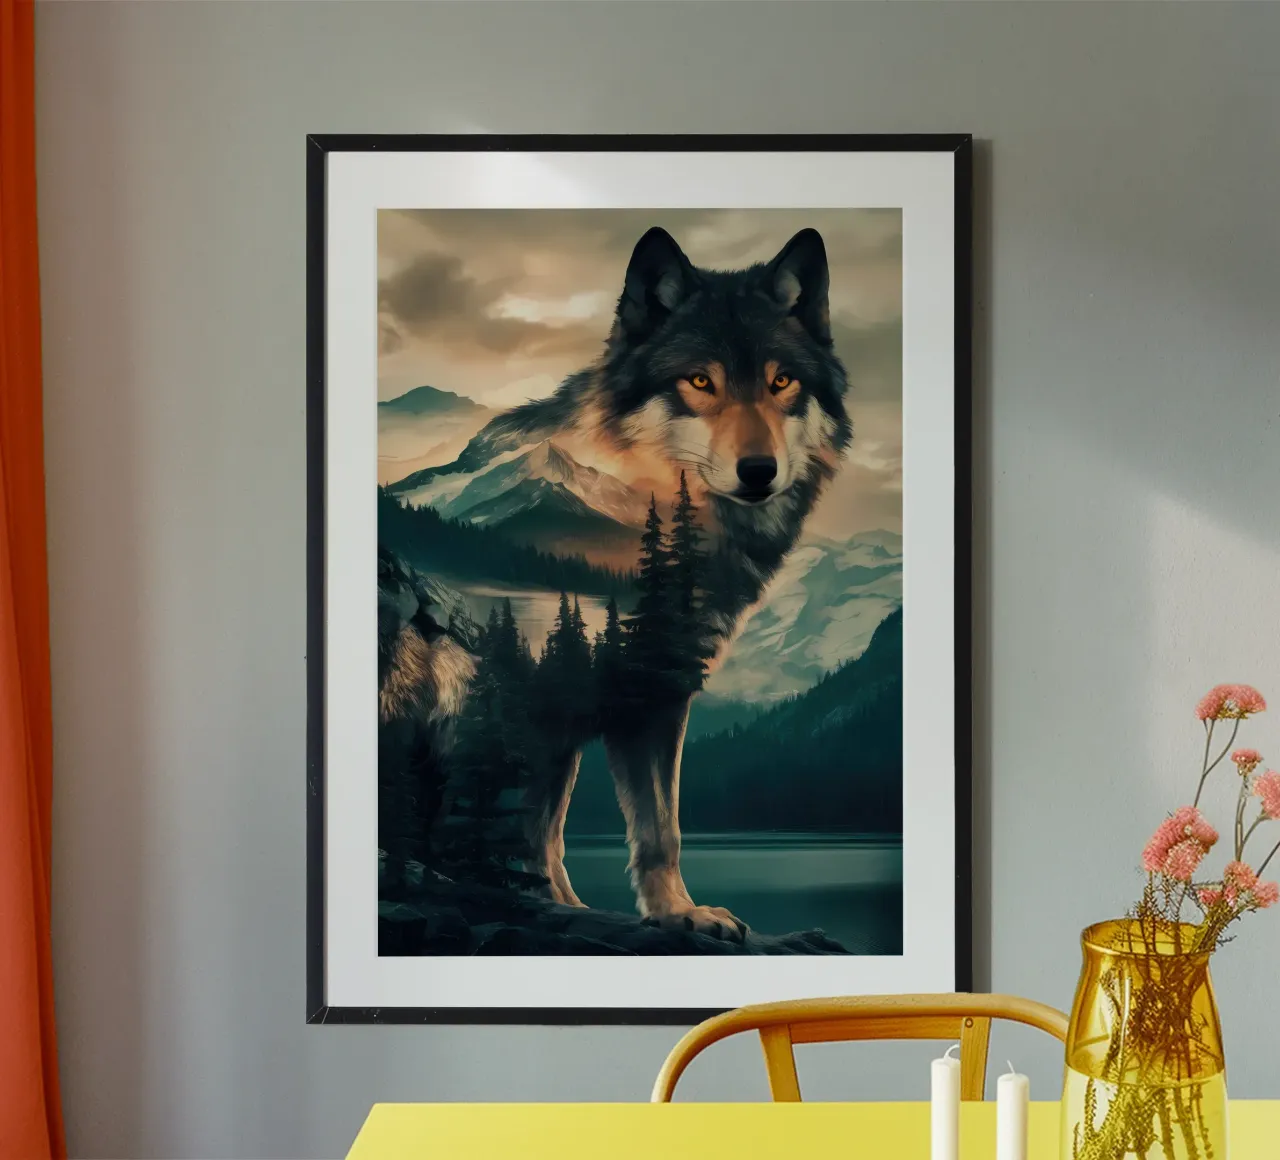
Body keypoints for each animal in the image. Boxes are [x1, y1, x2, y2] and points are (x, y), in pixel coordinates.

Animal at [398, 227, 852, 939]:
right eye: (700, 381)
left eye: (782, 381)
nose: (759, 470)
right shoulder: (554, 700)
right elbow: (526, 829)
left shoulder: (638, 698)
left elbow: (623, 829)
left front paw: (669, 913)